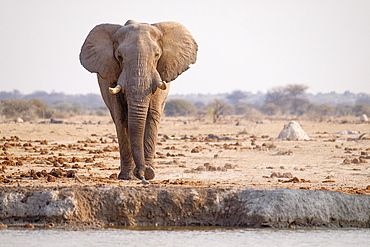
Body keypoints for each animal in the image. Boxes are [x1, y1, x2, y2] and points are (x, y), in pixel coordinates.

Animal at [80, 20, 198, 183]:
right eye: (119, 56)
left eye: (157, 55)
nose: (142, 173)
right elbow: (121, 118)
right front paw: (127, 177)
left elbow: (152, 116)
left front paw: (149, 173)